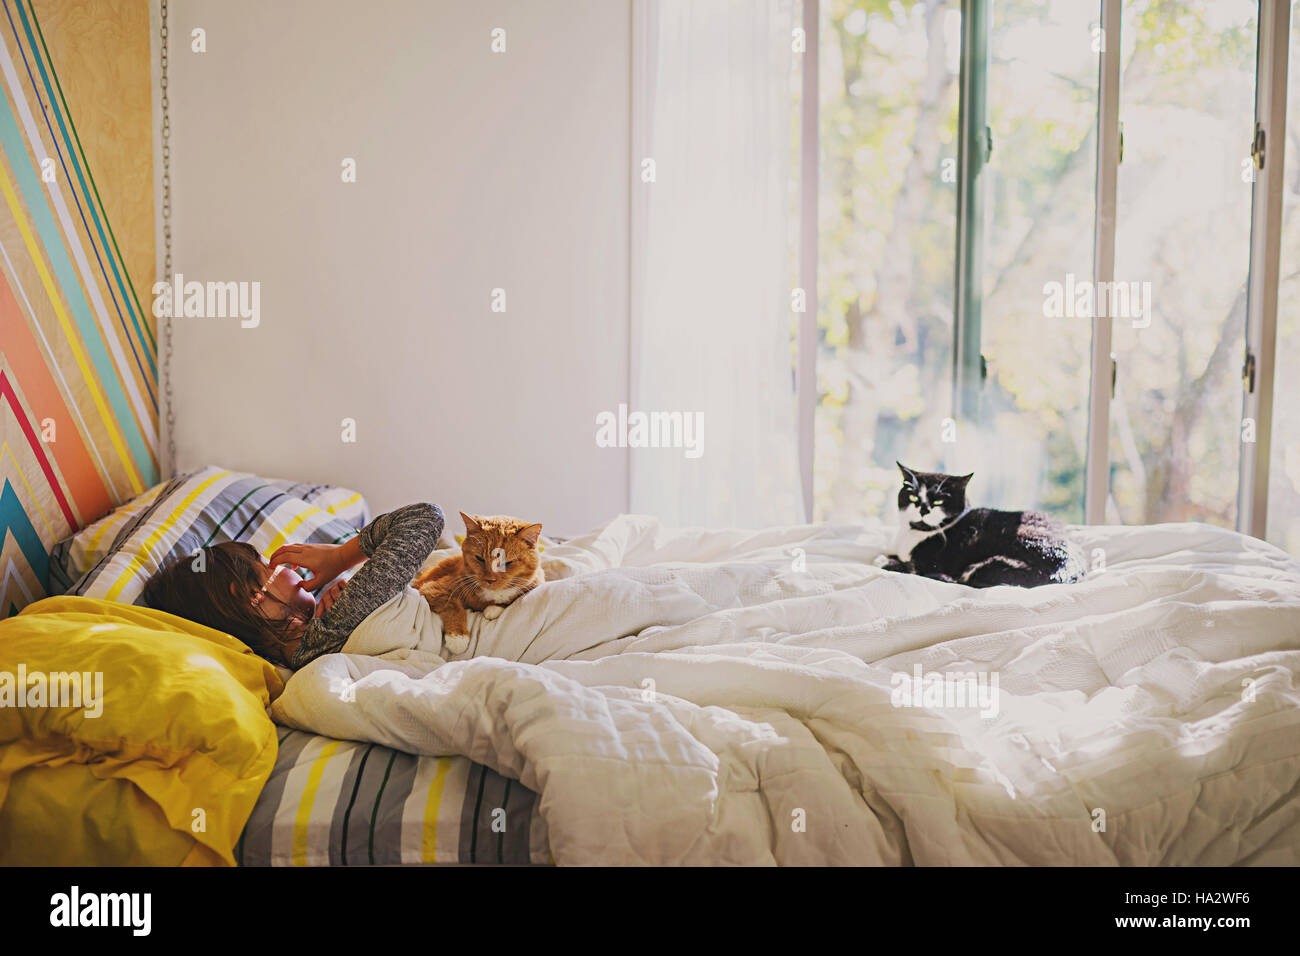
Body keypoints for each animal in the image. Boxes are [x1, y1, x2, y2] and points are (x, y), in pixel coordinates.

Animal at [410, 512, 543, 655]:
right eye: (480, 558)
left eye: (507, 562)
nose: (490, 579)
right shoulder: (433, 589)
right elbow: (453, 605)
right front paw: (458, 638)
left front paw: (494, 609)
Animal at [873, 460, 1086, 587]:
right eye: (913, 497)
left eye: (939, 501)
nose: (924, 510)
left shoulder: (930, 563)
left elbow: (908, 567)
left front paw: (885, 561)